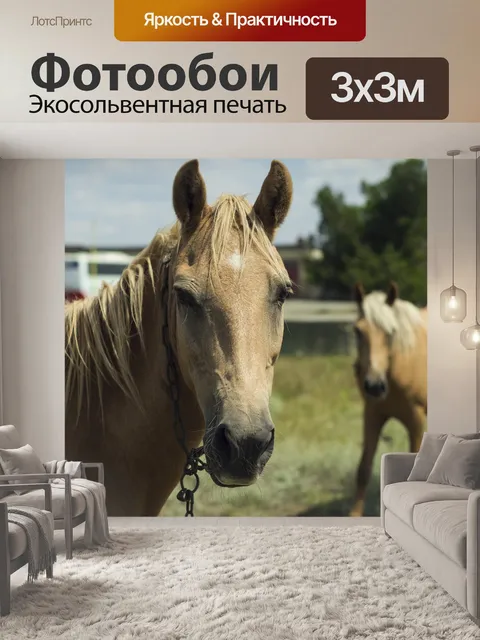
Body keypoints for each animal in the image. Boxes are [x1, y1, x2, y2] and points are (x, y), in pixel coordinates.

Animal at [350, 282, 427, 517]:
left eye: (391, 332)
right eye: (358, 331)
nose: (374, 385)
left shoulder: (416, 419)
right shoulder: (372, 414)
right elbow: (363, 469)